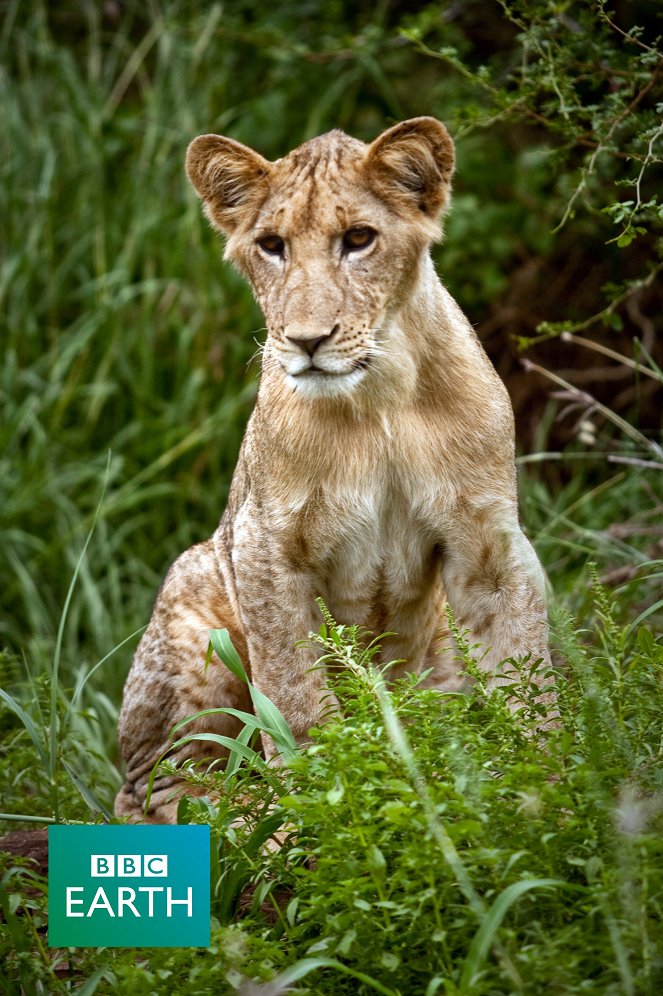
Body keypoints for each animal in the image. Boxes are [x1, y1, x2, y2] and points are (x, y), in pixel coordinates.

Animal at [116, 116, 552, 820]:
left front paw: (550, 789)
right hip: (195, 599)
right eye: (272, 246)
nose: (307, 340)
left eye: (359, 239)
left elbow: (526, 677)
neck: (381, 400)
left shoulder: (489, 545)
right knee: (160, 785)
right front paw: (323, 806)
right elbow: (296, 698)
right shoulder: (263, 547)